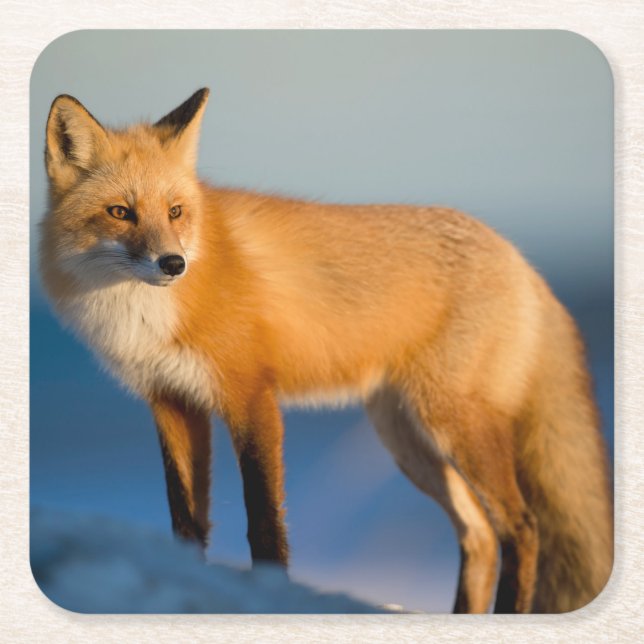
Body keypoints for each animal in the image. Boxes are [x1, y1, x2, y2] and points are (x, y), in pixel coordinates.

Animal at [39, 88, 613, 614]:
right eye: (121, 212)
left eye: (176, 211)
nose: (173, 264)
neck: (145, 314)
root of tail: (521, 260)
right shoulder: (172, 402)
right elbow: (186, 521)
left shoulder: (251, 397)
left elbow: (264, 521)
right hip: (409, 441)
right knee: (481, 536)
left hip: (454, 425)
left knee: (522, 527)